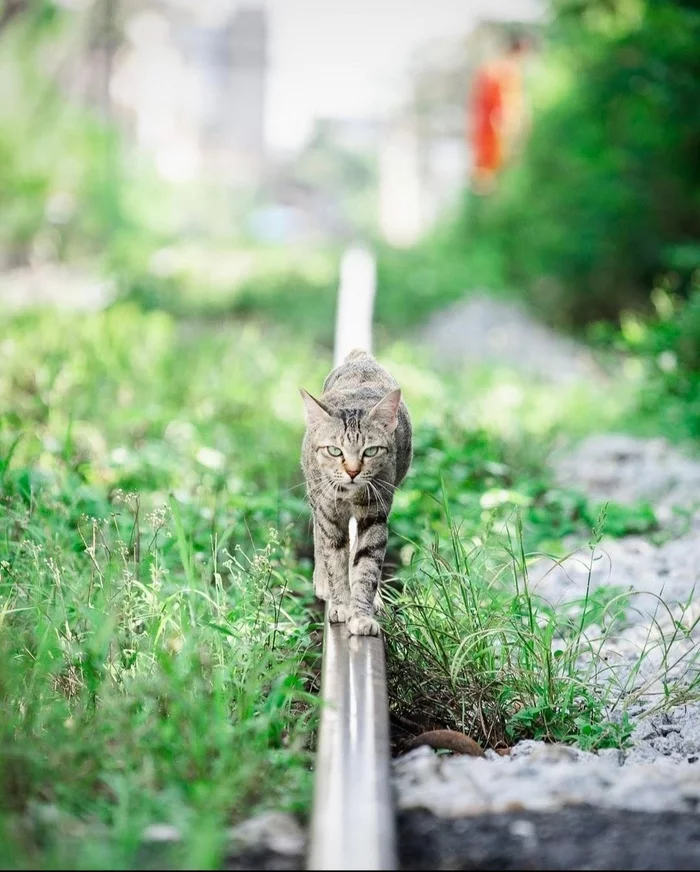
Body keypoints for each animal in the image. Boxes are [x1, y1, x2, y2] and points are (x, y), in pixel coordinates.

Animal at [300, 350, 410, 636]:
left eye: (370, 451)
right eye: (334, 450)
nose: (352, 471)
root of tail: (360, 357)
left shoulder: (375, 516)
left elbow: (366, 565)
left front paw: (362, 614)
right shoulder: (329, 516)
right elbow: (335, 561)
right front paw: (341, 605)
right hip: (313, 493)